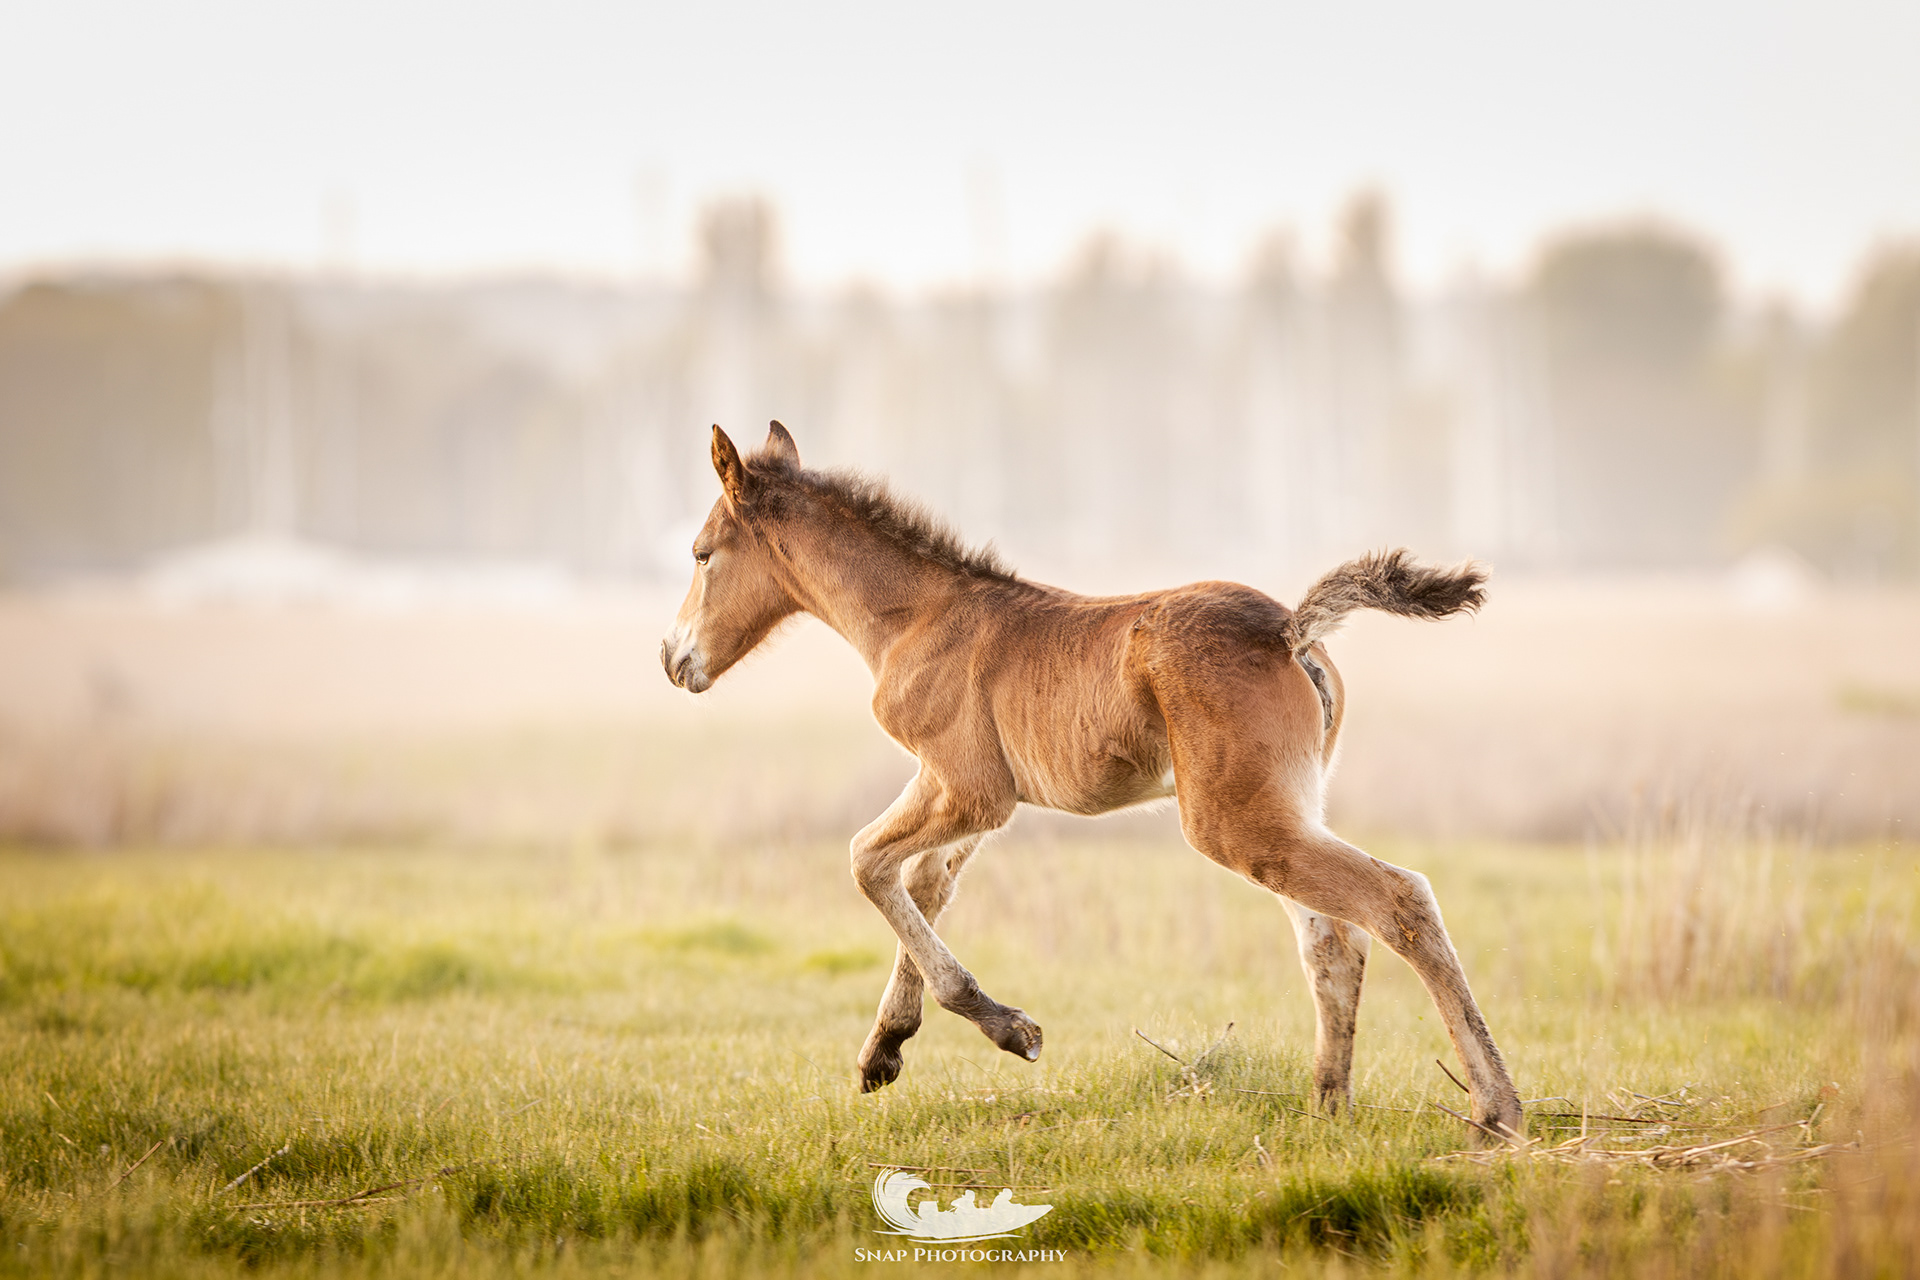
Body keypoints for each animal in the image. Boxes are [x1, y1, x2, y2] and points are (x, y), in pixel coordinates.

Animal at [661, 421, 1524, 1141]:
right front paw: (884, 1052)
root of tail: (1289, 629)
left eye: (703, 553)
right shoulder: (960, 795)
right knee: (1332, 942)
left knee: (1398, 901)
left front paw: (1008, 1029)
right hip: (1285, 809)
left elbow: (867, 863)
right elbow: (923, 885)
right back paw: (1327, 1111)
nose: (673, 659)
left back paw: (1496, 1110)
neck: (916, 618)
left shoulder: (970, 788)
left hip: (1236, 821)